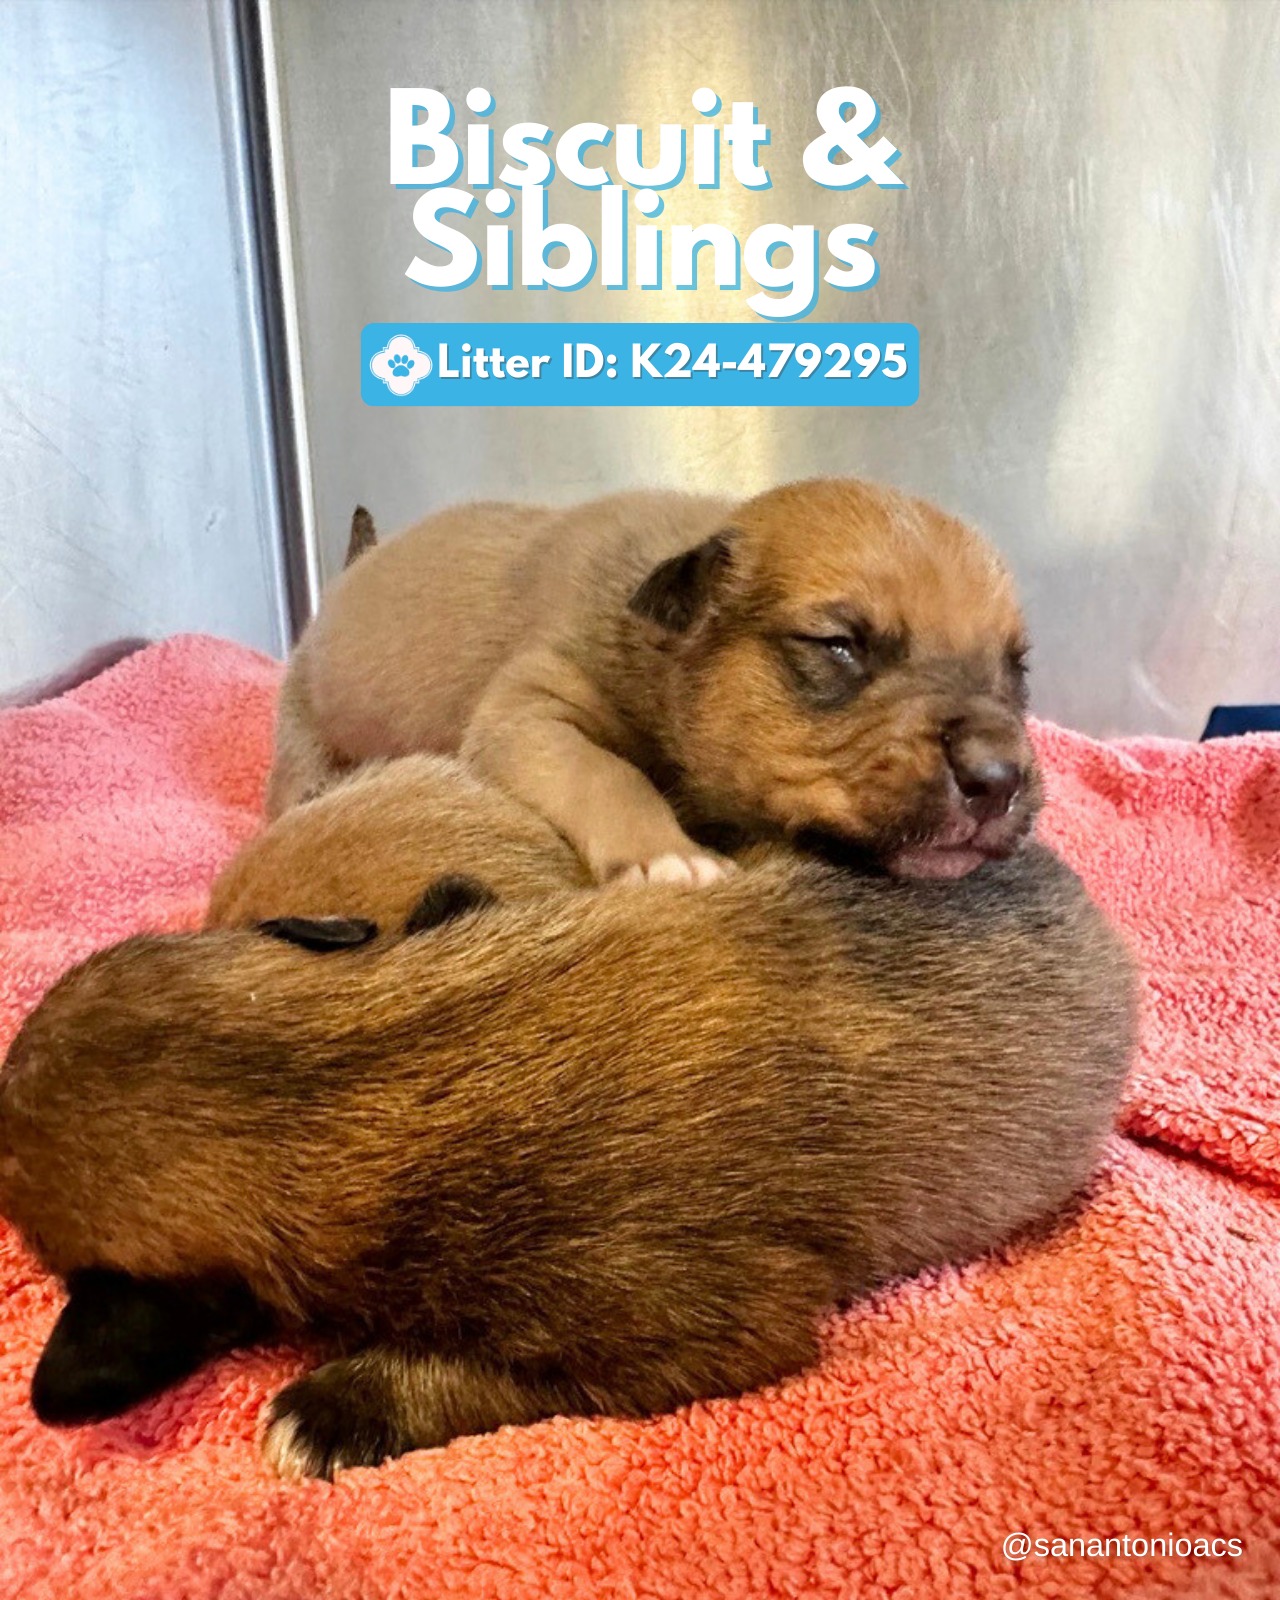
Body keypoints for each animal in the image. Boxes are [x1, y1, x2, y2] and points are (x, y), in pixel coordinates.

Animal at [270, 480, 1036, 896]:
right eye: (839, 646)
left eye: (1018, 668)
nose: (999, 778)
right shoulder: (531, 710)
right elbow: (606, 772)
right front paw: (667, 856)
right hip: (303, 713)